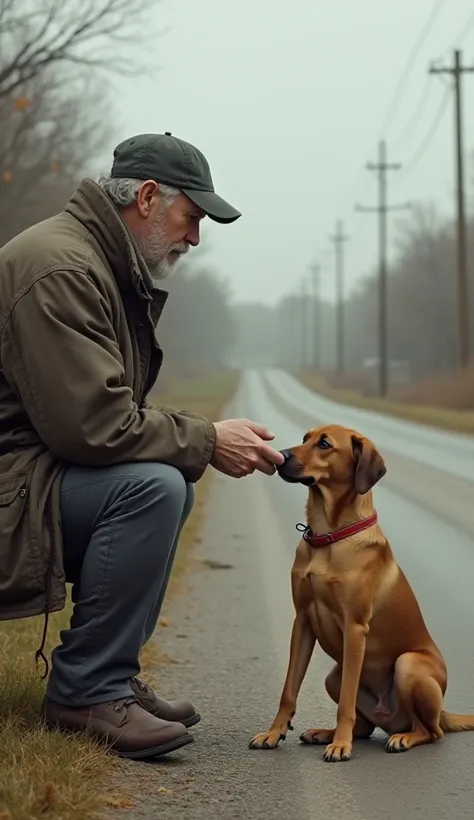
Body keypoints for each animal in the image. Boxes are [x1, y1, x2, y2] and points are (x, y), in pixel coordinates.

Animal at [248, 426, 474, 760]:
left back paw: (402, 738)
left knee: (432, 732)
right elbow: (289, 690)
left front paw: (341, 746)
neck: (328, 537)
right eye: (304, 438)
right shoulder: (302, 622)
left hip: (408, 665)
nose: (281, 456)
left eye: (324, 444)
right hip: (334, 674)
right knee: (366, 727)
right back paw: (323, 733)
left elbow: (346, 701)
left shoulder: (354, 629)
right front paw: (274, 734)